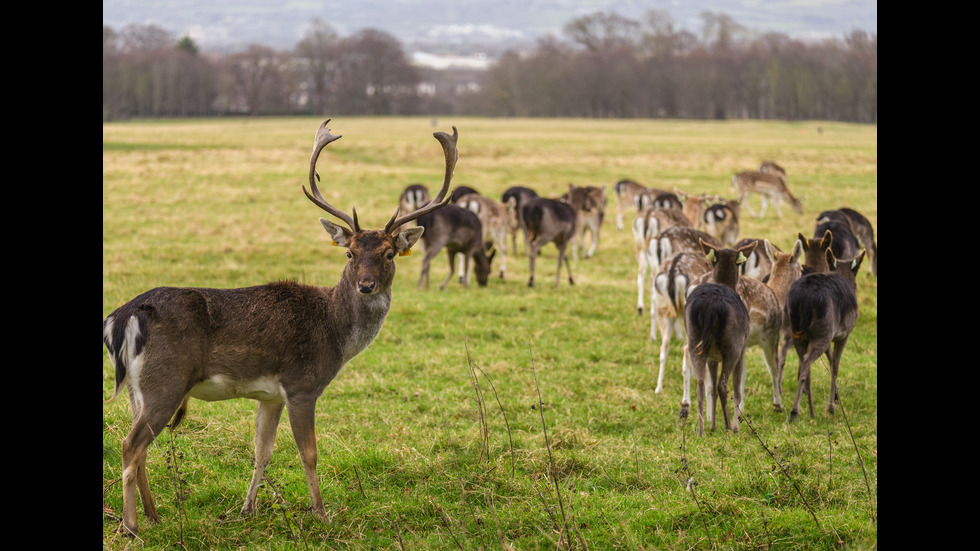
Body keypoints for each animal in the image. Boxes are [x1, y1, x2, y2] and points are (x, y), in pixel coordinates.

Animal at [101, 121, 462, 540]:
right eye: (350, 253)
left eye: (389, 253)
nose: (366, 285)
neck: (335, 332)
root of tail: (122, 317)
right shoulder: (302, 383)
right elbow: (310, 452)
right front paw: (321, 514)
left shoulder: (270, 395)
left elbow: (262, 450)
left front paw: (248, 510)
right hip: (166, 379)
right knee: (130, 444)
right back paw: (130, 525)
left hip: (137, 388)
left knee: (139, 445)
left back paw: (154, 515)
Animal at [676, 240, 756, 436]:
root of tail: (710, 307)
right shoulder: (742, 349)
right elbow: (736, 388)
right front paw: (735, 426)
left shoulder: (712, 357)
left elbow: (710, 387)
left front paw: (712, 425)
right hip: (733, 345)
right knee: (723, 384)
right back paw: (728, 427)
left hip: (695, 341)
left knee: (701, 384)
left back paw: (701, 430)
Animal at [780, 248, 864, 420]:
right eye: (856, 282)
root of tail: (802, 301)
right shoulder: (843, 334)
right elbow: (835, 365)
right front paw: (832, 406)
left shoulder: (831, 334)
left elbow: (830, 359)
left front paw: (836, 397)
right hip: (823, 331)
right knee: (807, 361)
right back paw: (794, 412)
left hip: (795, 331)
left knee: (801, 362)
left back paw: (811, 412)